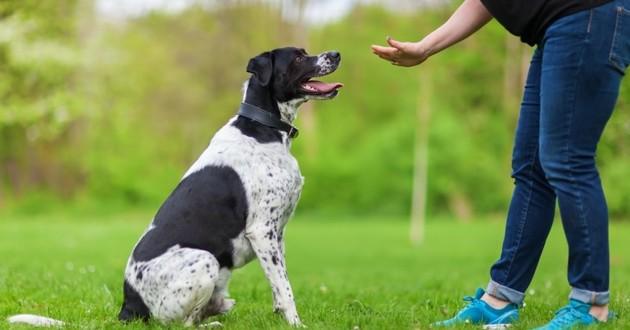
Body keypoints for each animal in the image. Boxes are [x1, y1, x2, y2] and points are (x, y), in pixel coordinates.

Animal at [116, 47, 346, 328]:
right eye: (298, 57)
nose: (336, 53)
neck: (262, 128)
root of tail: (128, 305)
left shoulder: (277, 234)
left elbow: (278, 285)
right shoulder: (262, 231)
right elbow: (285, 287)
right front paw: (295, 323)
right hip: (205, 261)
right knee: (182, 322)